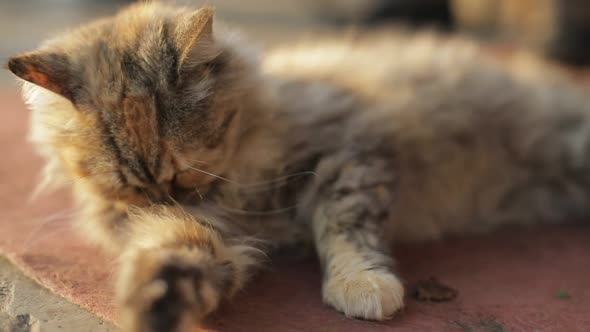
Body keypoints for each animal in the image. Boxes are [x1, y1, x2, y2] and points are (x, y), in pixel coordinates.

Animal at [5, 2, 590, 332]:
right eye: (132, 191)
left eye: (186, 174)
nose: (170, 201)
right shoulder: (203, 233)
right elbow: (174, 256)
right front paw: (154, 304)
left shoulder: (348, 156)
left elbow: (344, 229)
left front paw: (361, 285)